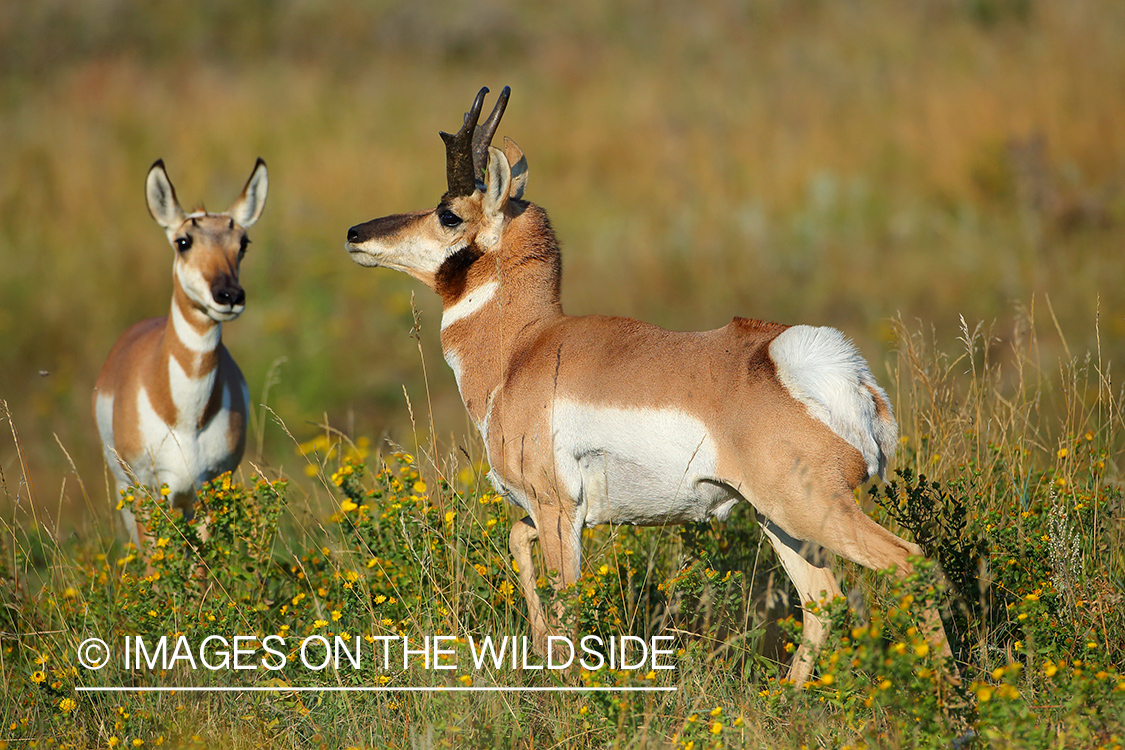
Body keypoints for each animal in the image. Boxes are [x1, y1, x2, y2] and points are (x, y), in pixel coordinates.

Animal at [93, 159, 266, 546]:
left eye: (243, 242)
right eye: (183, 241)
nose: (229, 295)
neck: (186, 418)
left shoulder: (208, 490)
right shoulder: (148, 492)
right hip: (126, 491)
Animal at [342, 88, 949, 688]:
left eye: (448, 213)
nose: (355, 233)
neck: (523, 347)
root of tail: (824, 369)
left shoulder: (558, 507)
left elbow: (566, 603)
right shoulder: (551, 512)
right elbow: (517, 540)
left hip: (811, 511)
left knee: (910, 562)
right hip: (781, 521)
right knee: (824, 601)